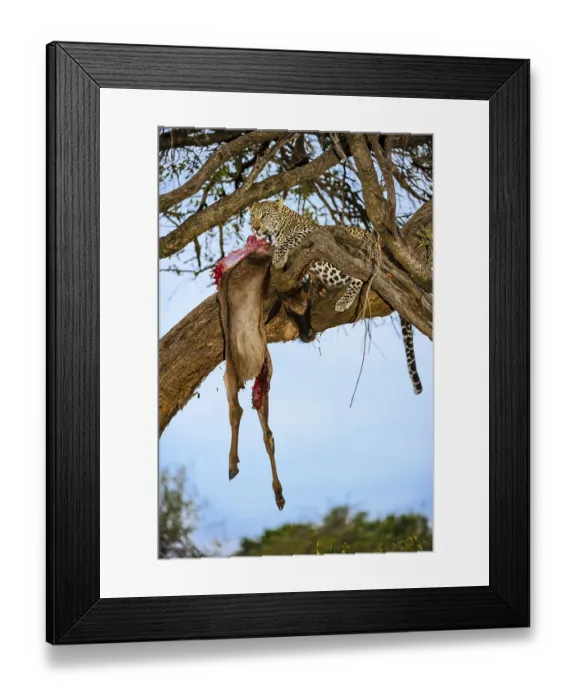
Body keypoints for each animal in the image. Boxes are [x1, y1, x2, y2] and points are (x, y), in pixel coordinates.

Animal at [249, 198, 423, 395]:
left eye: (264, 215)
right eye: (252, 216)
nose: (255, 228)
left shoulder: (311, 233)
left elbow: (289, 241)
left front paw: (278, 256)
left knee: (360, 275)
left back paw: (343, 300)